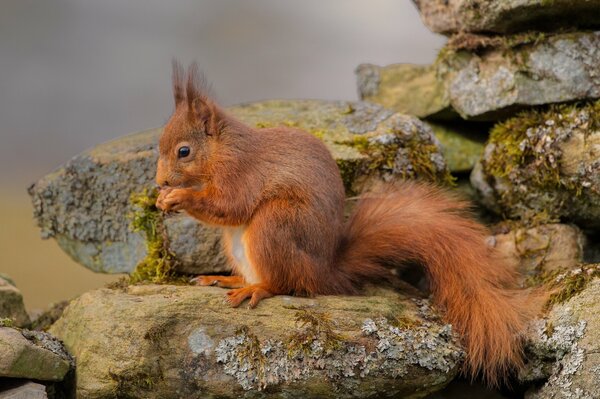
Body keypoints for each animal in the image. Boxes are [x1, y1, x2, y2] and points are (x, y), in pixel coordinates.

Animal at [157, 62, 536, 388]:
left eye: (184, 151)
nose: (160, 183)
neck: (221, 150)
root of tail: (324, 271)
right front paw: (164, 200)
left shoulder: (242, 174)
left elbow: (230, 206)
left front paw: (178, 198)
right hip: (238, 243)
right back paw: (225, 279)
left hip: (274, 224)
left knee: (283, 283)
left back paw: (257, 288)